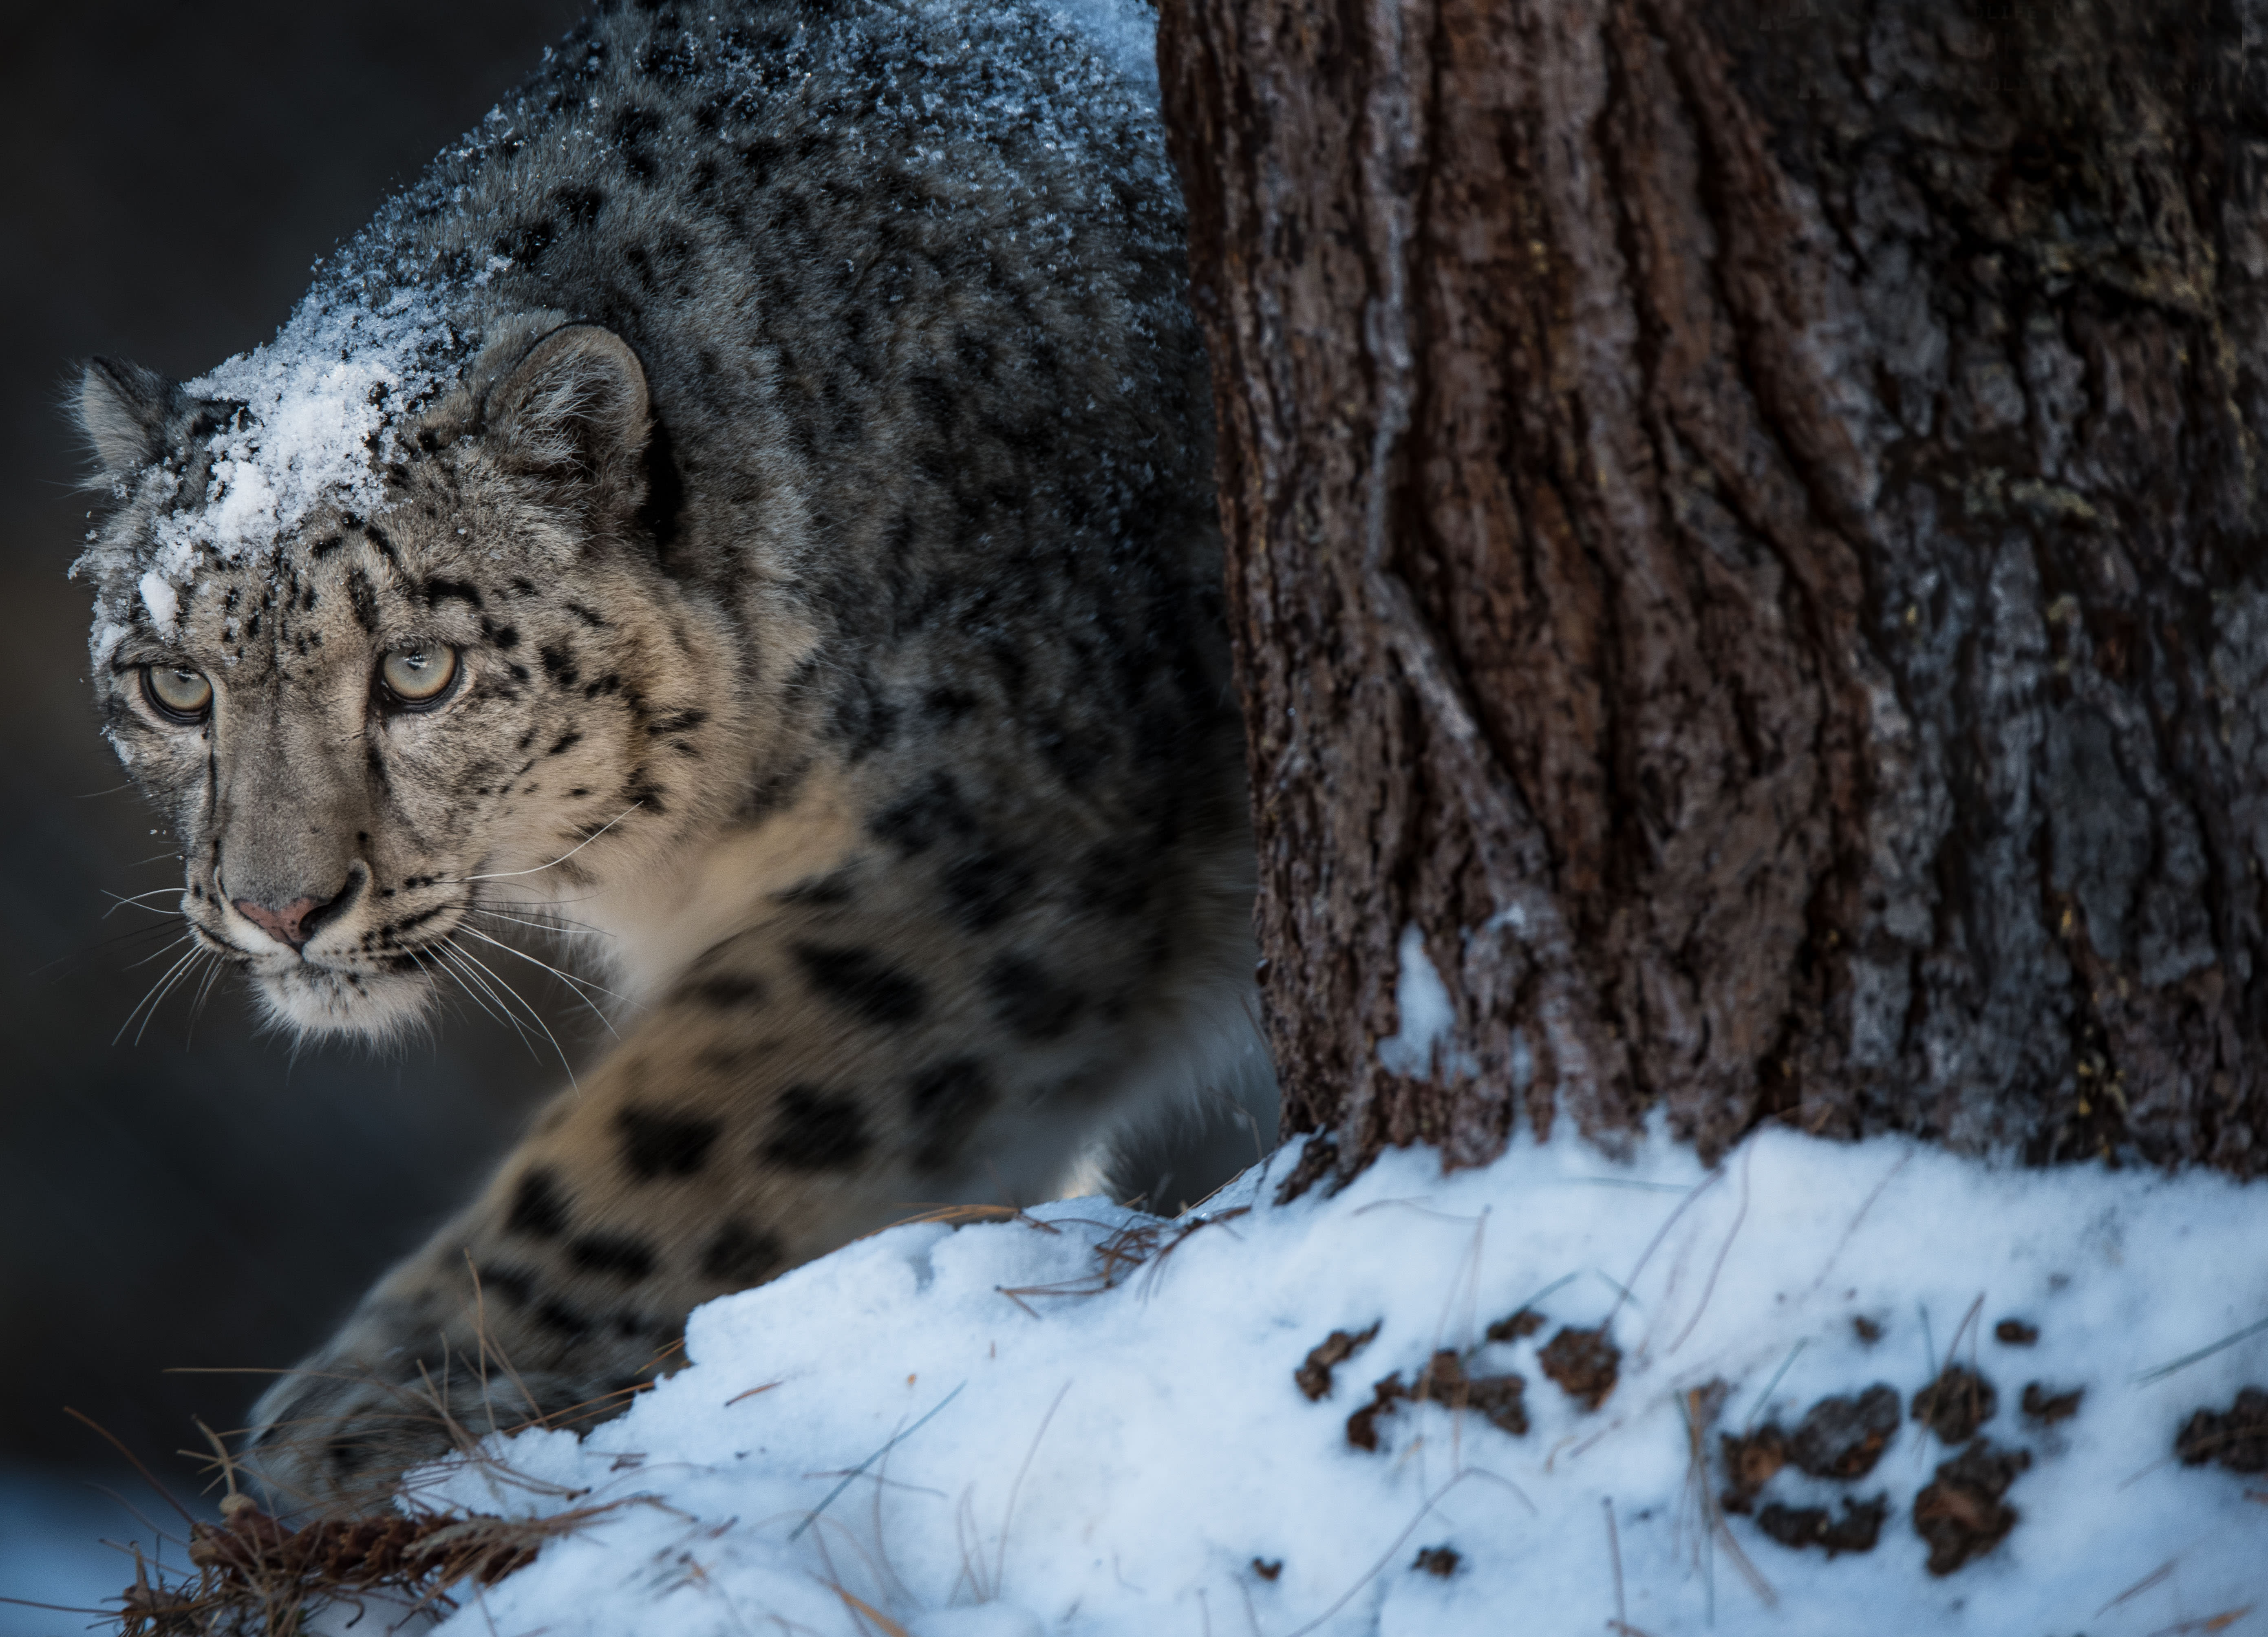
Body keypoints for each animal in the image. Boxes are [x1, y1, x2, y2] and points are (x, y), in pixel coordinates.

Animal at [70, 0, 1267, 1515]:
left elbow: (682, 1120)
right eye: (175, 684)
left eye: (419, 669)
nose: (279, 907)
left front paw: (357, 1409)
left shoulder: (998, 843)